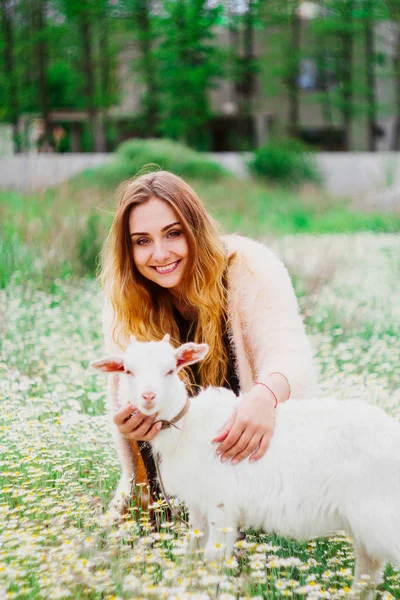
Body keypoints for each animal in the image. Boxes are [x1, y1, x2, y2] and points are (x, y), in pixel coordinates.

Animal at [92, 338, 400, 592]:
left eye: (169, 370)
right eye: (128, 371)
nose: (148, 397)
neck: (186, 428)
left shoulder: (221, 502)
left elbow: (213, 556)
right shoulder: (198, 504)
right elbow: (193, 550)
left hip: (380, 512)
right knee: (368, 572)